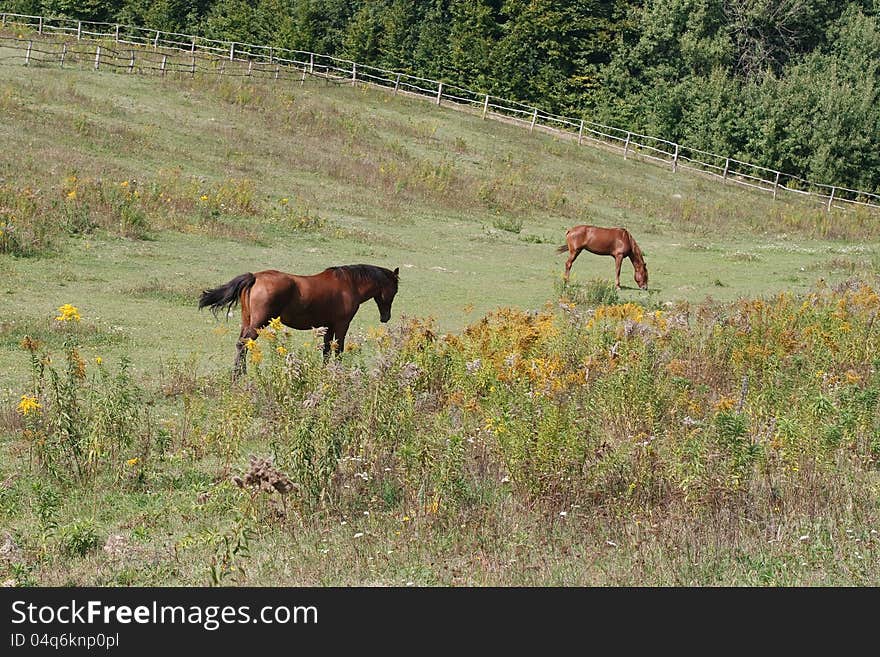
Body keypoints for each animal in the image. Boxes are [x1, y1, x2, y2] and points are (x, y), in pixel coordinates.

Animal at [199, 262, 398, 376]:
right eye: (395, 290)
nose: (386, 317)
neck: (349, 284)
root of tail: (254, 277)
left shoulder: (328, 326)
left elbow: (326, 350)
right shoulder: (342, 325)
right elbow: (338, 350)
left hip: (247, 321)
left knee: (242, 344)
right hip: (258, 323)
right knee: (243, 344)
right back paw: (239, 375)